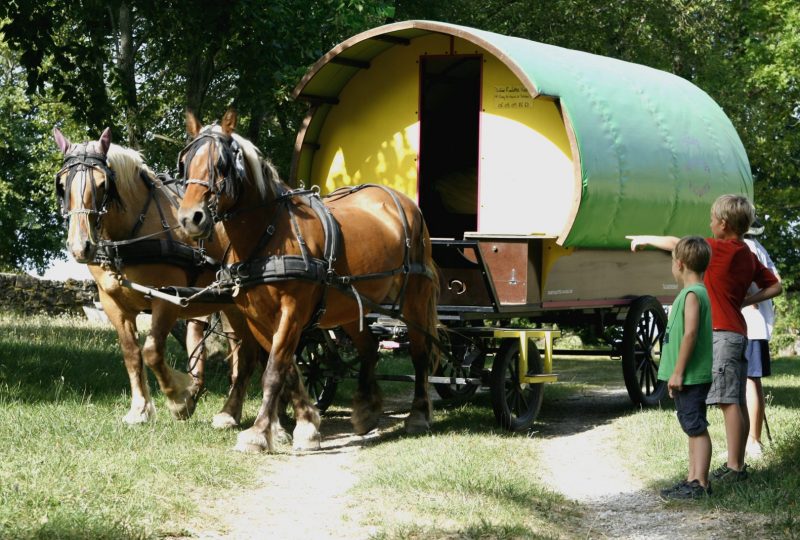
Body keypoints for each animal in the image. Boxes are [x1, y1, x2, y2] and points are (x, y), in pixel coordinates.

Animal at [54, 127, 266, 430]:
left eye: (103, 184)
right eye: (62, 184)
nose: (80, 246)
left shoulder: (166, 299)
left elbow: (152, 352)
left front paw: (181, 397)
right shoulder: (112, 303)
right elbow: (131, 353)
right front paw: (140, 409)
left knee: (249, 353)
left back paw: (230, 412)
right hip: (227, 305)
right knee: (240, 352)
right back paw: (231, 409)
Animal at [175, 108, 440, 452]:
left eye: (221, 164)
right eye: (185, 162)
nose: (189, 218)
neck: (270, 233)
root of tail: (405, 203)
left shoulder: (292, 311)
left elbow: (274, 370)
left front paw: (259, 433)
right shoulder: (258, 317)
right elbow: (286, 369)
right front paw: (301, 425)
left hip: (415, 300)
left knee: (420, 354)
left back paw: (418, 414)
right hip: (350, 305)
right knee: (369, 347)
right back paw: (367, 411)